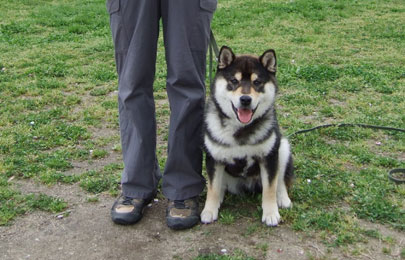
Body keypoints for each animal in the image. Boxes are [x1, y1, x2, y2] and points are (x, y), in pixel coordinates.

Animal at [200, 46, 292, 225]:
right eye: (234, 81)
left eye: (257, 82)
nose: (245, 99)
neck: (241, 129)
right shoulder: (214, 158)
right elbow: (213, 188)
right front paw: (209, 210)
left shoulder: (269, 157)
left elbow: (270, 188)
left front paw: (271, 213)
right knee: (220, 185)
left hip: (282, 147)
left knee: (280, 180)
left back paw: (283, 198)